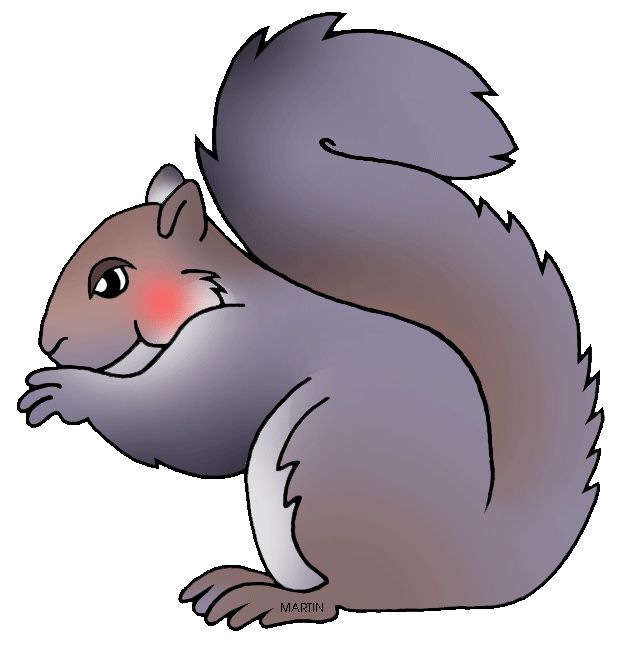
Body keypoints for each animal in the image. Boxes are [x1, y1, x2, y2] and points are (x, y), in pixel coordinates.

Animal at [18, 13, 602, 629]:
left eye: (110, 281)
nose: (50, 342)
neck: (209, 297)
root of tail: (471, 572)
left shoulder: (239, 353)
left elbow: (181, 425)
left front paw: (68, 390)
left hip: (319, 476)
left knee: (340, 598)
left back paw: (261, 595)